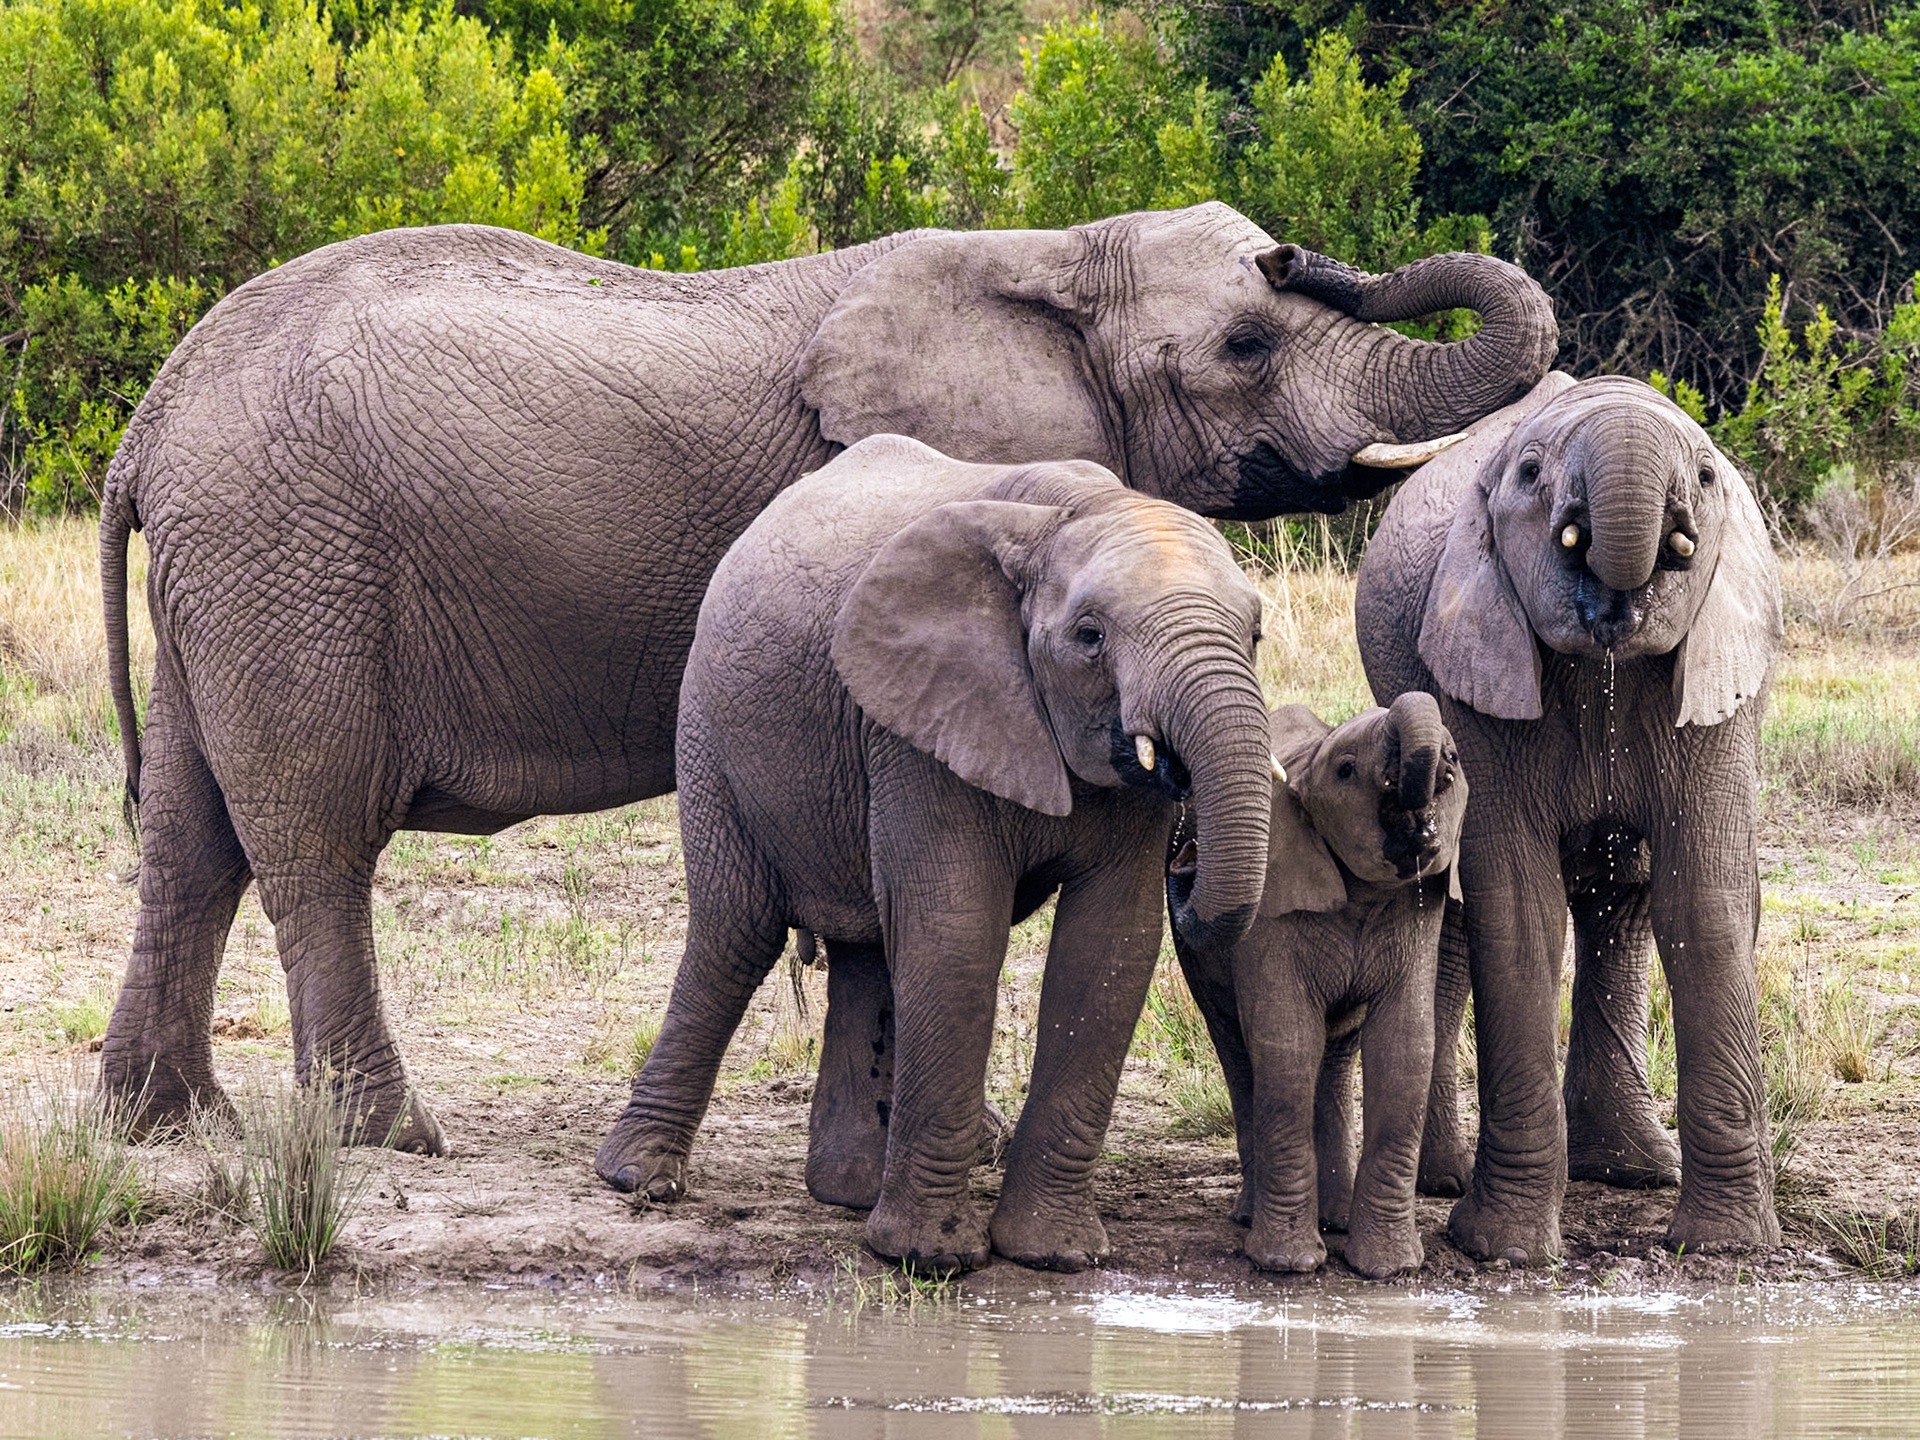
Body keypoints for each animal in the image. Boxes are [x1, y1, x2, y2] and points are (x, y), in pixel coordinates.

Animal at [97, 203, 1558, 1149]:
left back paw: (165, 1126)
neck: (1044, 255)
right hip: (295, 559)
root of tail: (151, 420)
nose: (1298, 250)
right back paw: (391, 1139)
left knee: (190, 839)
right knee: (312, 840)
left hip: (233, 574)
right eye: (1250, 344)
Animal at [594, 434, 1274, 1273]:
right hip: (711, 731)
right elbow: (955, 930)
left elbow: (1109, 947)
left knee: (867, 950)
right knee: (734, 935)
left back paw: (848, 1193)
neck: (1064, 517)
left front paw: (1055, 1256)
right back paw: (639, 1180)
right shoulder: (917, 722)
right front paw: (932, 1258)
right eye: (1091, 636)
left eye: (1255, 637)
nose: (1187, 860)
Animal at [1172, 694, 1467, 1278]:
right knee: (1239, 1049)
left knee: (1335, 1054)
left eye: (1456, 761)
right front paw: (1289, 1265)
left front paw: (1389, 1270)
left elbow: (1404, 1045)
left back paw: (1336, 1220)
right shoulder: (1272, 906)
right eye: (1347, 770)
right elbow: (1287, 1042)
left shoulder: (1418, 906)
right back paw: (1253, 1219)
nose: (1442, 760)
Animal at [1355, 373, 1784, 1262]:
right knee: (1462, 910)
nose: (1667, 532)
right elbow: (1517, 909)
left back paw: (1629, 1172)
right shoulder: (1480, 676)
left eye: (1707, 475)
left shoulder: (1719, 679)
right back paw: (1443, 1183)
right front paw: (1505, 1250)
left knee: (1623, 903)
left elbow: (1707, 902)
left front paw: (1724, 1249)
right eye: (1528, 474)